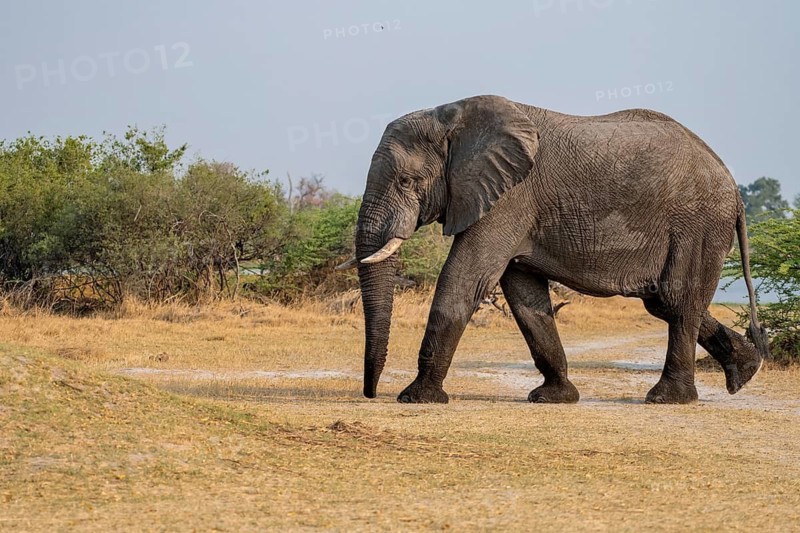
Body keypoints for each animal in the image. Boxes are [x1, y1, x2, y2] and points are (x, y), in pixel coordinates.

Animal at [339, 95, 769, 405]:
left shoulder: (510, 198)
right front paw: (554, 397)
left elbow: (465, 279)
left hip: (698, 224)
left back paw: (667, 399)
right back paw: (745, 371)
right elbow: (523, 294)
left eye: (407, 181)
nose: (370, 394)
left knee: (677, 300)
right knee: (663, 302)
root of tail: (732, 185)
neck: (452, 116)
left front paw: (417, 398)